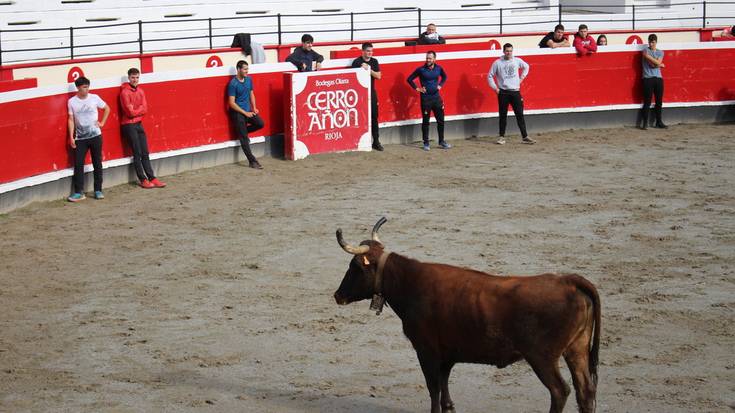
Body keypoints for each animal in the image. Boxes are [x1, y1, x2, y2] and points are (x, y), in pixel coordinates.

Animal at [336, 216, 600, 412]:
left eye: (354, 266)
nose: (337, 295)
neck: (410, 283)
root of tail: (568, 281)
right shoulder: (447, 352)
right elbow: (444, 386)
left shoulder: (426, 350)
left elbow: (433, 388)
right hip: (577, 349)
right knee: (585, 391)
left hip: (542, 357)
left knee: (560, 391)